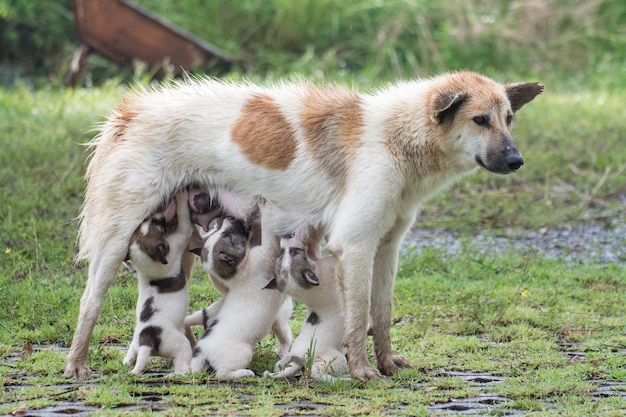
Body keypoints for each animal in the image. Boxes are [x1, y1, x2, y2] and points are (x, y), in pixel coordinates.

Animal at [120, 190, 191, 372]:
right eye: (157, 224)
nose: (156, 212)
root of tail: (148, 338)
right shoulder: (179, 239)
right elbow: (184, 218)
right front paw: (182, 195)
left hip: (136, 343)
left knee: (132, 354)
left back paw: (127, 361)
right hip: (180, 344)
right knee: (181, 362)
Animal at [185, 213, 292, 378]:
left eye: (222, 232)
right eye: (227, 234)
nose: (229, 216)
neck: (239, 271)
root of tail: (202, 350)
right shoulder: (265, 253)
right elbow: (268, 236)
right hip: (242, 353)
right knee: (222, 374)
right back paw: (244, 372)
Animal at [260, 234, 344, 380]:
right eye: (295, 252)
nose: (286, 235)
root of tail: (298, 358)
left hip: (283, 361)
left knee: (281, 367)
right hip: (334, 359)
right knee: (315, 372)